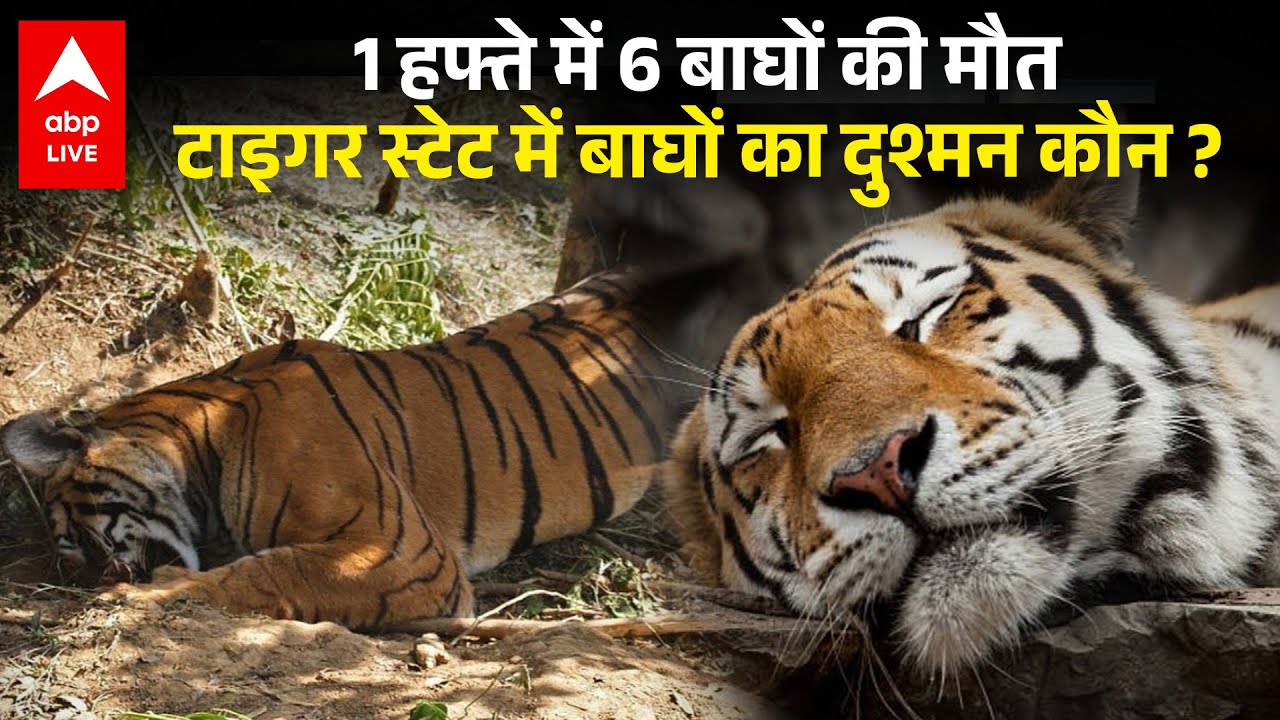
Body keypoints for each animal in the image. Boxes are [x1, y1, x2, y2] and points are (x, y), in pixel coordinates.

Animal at [1, 271, 676, 628]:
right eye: (66, 556)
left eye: (79, 538)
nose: (88, 585)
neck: (208, 434)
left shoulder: (398, 550)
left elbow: (269, 570)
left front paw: (145, 593)